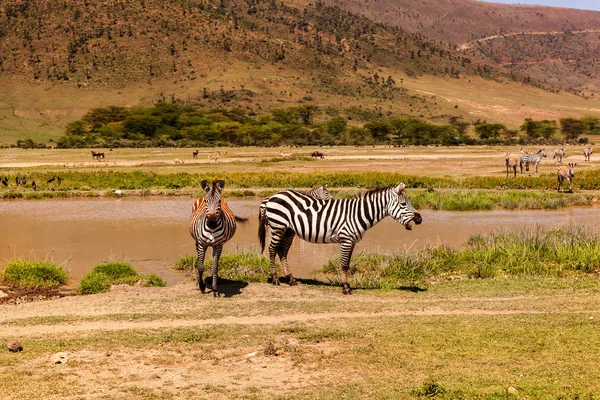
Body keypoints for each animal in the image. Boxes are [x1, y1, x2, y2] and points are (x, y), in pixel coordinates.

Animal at [258, 184, 422, 294]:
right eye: (403, 204)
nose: (419, 219)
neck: (358, 214)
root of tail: (272, 196)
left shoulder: (352, 241)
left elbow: (347, 264)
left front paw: (346, 286)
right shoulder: (346, 239)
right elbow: (343, 265)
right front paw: (345, 288)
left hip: (288, 230)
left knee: (282, 252)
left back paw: (291, 280)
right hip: (278, 226)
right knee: (272, 250)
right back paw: (275, 280)